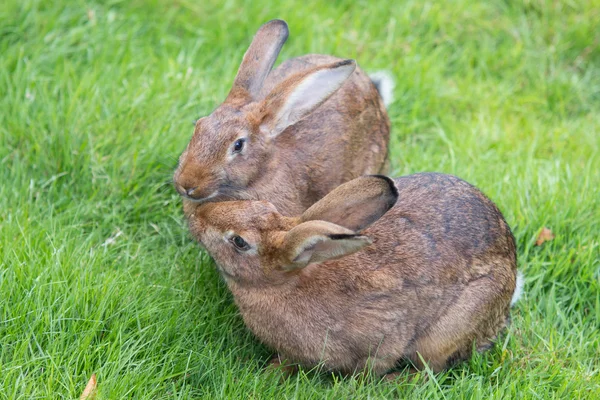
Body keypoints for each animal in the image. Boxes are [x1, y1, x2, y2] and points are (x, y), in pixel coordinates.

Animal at [185, 174, 524, 376]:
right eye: (262, 204)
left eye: (239, 242)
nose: (198, 217)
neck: (290, 282)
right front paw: (272, 371)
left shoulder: (386, 332)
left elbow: (375, 363)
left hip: (449, 329)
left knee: (430, 370)